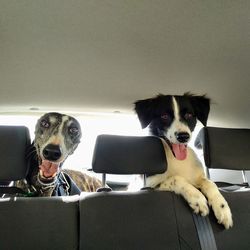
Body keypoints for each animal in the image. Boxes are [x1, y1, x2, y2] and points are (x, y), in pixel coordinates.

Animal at [135, 93, 232, 229]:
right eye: (164, 116)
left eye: (189, 115)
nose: (183, 136)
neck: (175, 158)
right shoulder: (150, 185)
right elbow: (176, 178)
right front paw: (197, 198)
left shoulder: (198, 177)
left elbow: (210, 183)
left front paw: (222, 208)